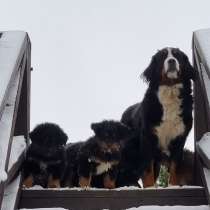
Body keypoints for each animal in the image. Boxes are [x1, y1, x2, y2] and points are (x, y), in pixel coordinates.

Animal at [121, 47, 197, 187]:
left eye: (177, 55)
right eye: (163, 56)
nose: (172, 61)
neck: (170, 90)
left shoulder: (180, 138)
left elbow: (174, 166)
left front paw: (172, 185)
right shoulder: (148, 138)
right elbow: (147, 169)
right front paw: (150, 187)